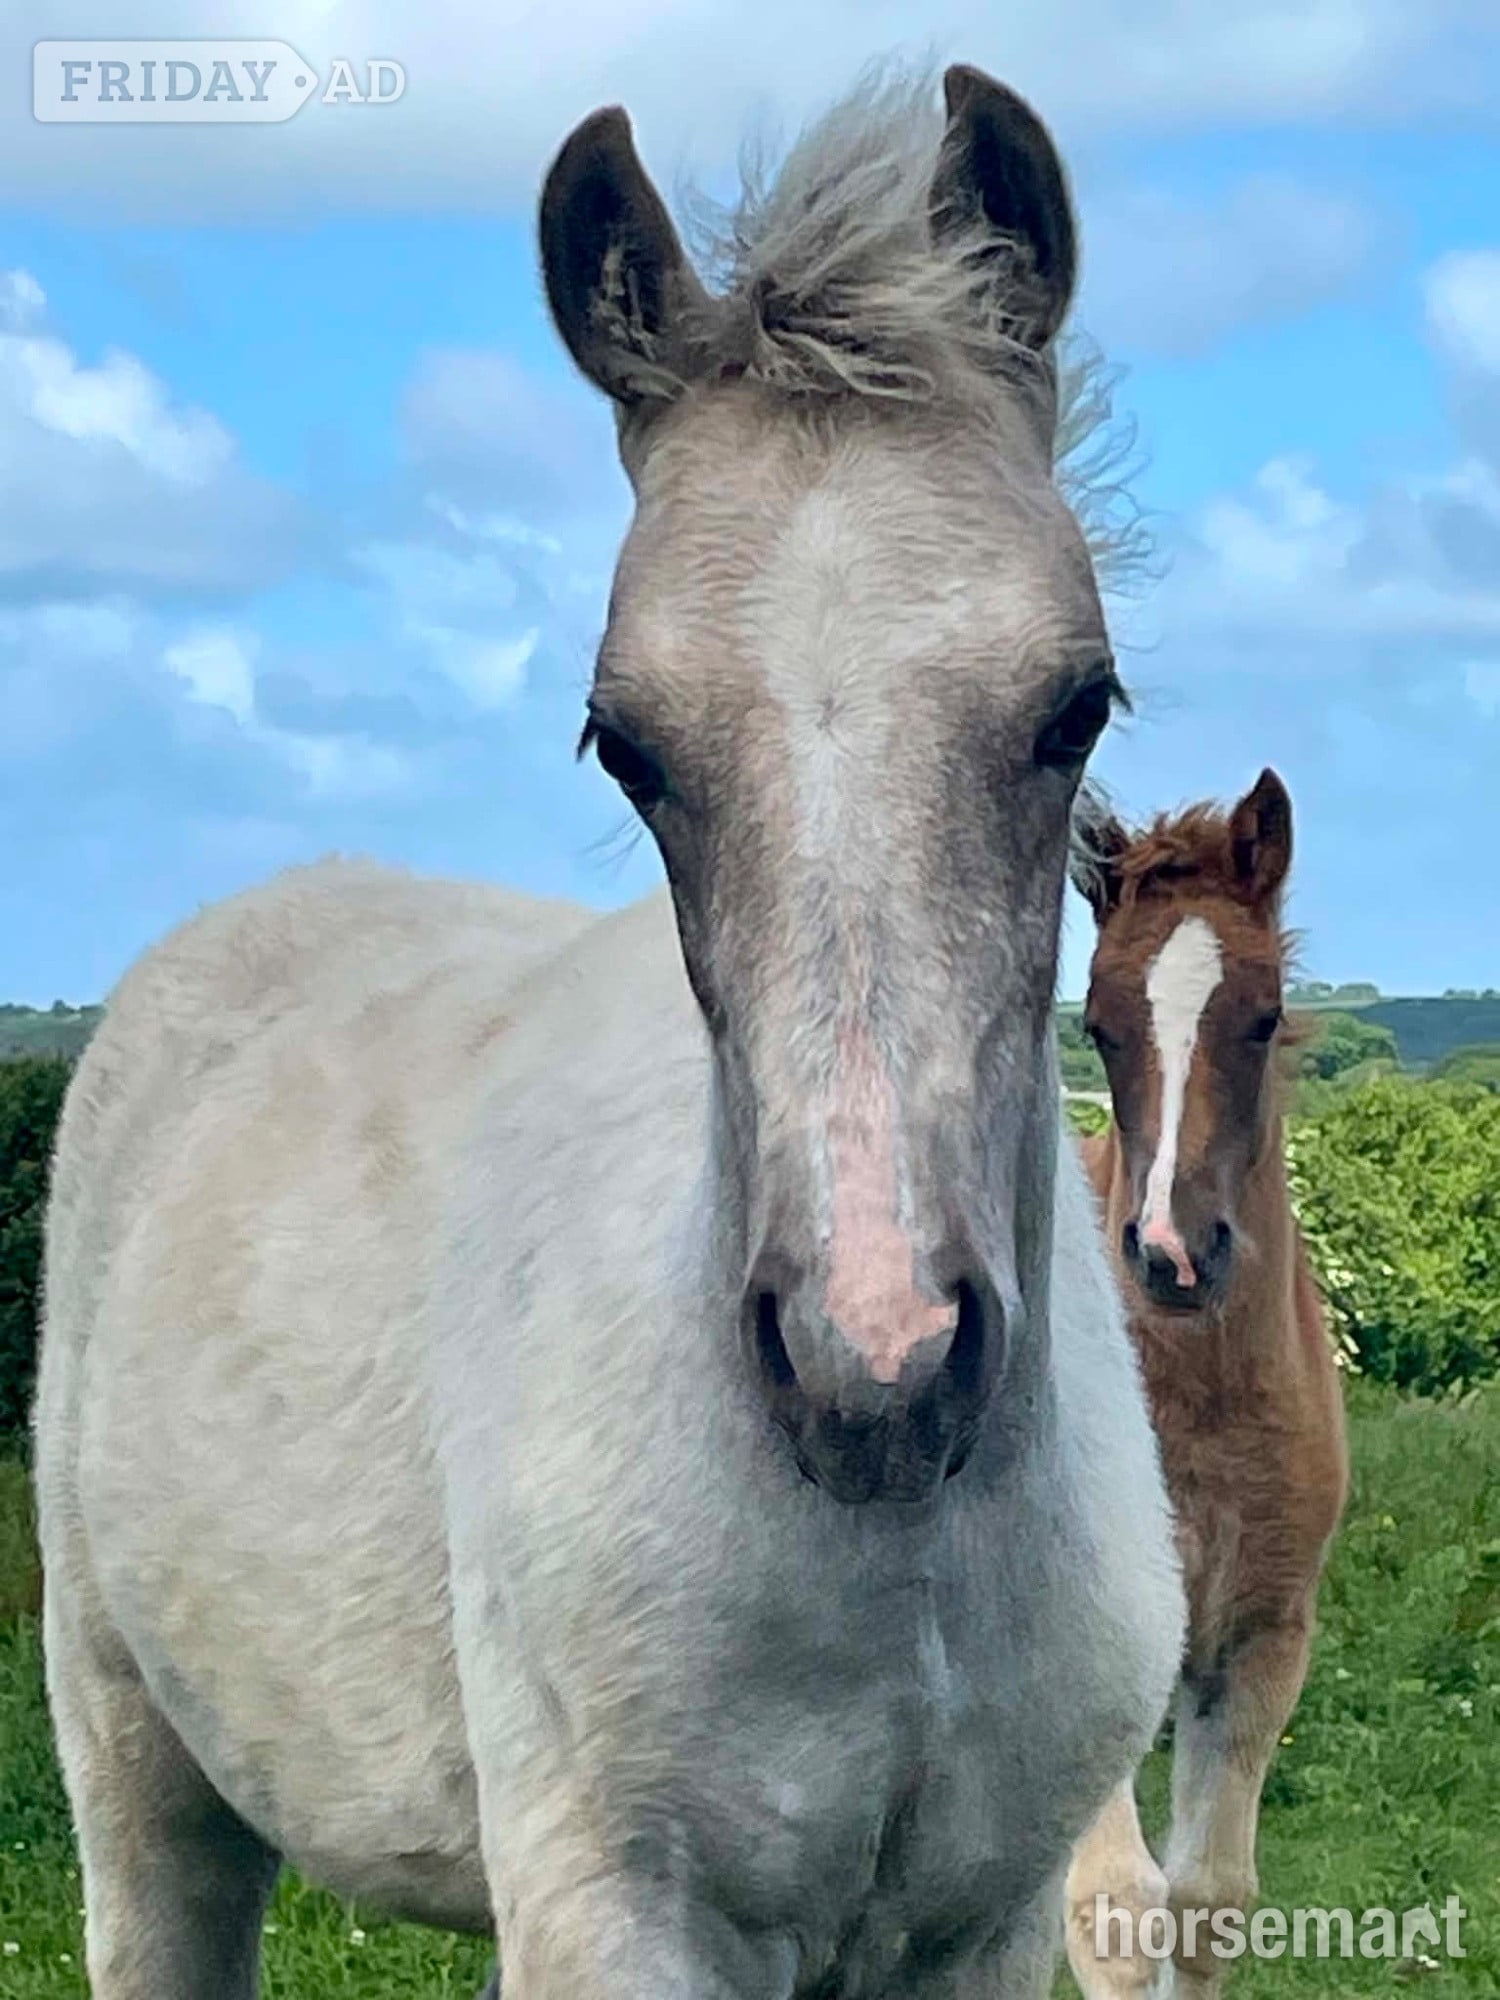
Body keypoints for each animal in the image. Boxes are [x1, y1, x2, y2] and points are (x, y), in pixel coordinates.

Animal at [35, 64, 1184, 2000]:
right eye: (625, 744)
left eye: (1073, 706)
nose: (876, 1362)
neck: (900, 1572)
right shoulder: (611, 1915)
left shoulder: (988, 1922)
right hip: (138, 1778)